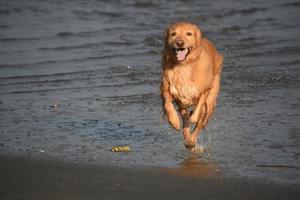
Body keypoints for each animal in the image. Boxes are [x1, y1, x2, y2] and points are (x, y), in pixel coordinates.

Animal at [162, 21, 223, 150]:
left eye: (188, 33)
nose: (180, 42)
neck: (184, 65)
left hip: (211, 98)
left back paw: (192, 139)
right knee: (186, 122)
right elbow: (168, 104)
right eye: (173, 34)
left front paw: (193, 117)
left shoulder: (205, 89)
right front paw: (174, 121)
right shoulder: (168, 87)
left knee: (201, 121)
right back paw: (188, 139)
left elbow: (199, 110)